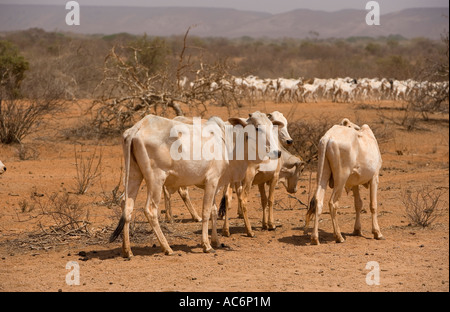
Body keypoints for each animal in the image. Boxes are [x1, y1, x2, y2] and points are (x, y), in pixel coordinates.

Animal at [109, 111, 282, 258]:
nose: (278, 152)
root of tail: (138, 127)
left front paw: (216, 241)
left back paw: (127, 250)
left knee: (126, 205)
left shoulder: (217, 184)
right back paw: (167, 248)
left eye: (271, 126)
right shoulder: (212, 181)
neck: (227, 141)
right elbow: (206, 212)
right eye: (258, 128)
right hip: (156, 180)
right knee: (150, 210)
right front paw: (206, 245)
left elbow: (213, 211)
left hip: (134, 175)